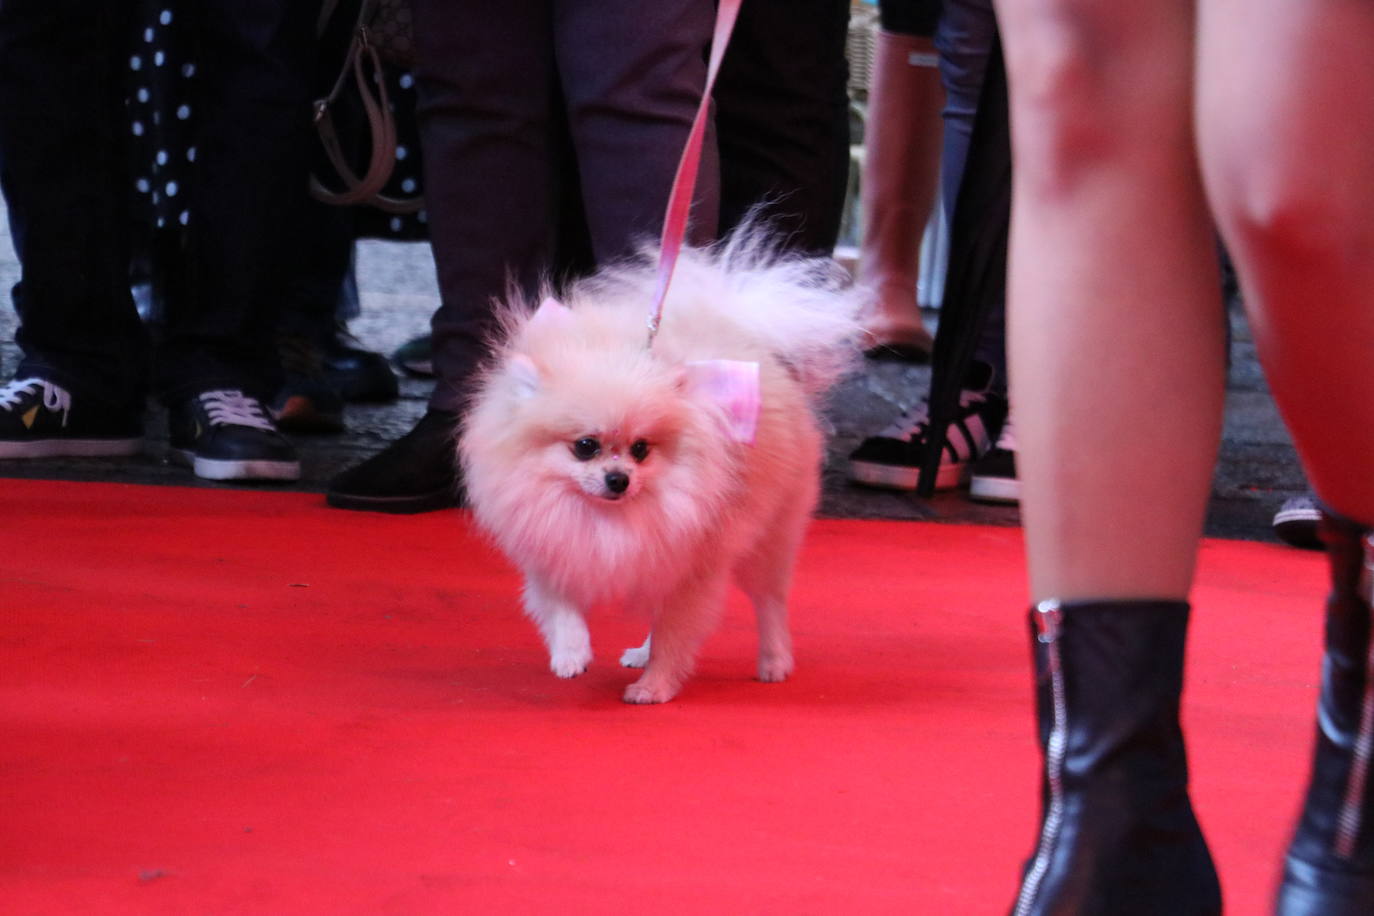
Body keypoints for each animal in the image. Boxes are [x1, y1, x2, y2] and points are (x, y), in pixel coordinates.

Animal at [467, 233, 862, 708]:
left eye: (640, 449)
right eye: (585, 447)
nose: (618, 479)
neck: (610, 518)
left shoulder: (689, 571)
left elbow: (675, 636)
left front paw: (654, 687)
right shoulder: (553, 547)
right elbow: (562, 607)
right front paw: (572, 654)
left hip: (768, 539)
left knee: (769, 602)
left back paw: (774, 662)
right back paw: (640, 652)